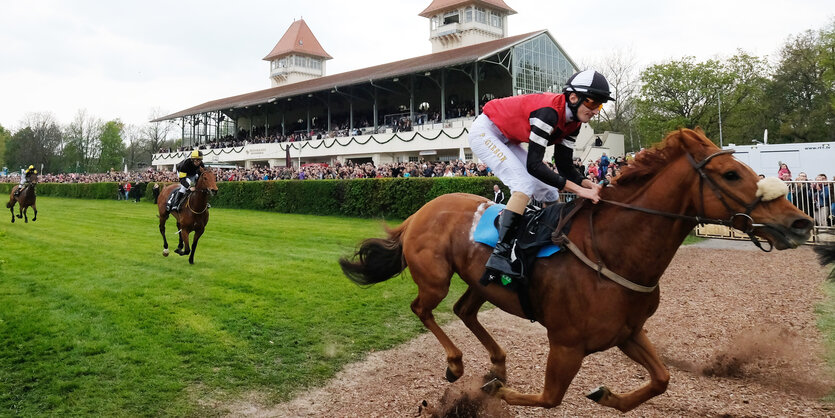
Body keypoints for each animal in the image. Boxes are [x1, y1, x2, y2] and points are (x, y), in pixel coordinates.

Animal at [336, 128, 812, 412]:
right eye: (731, 173)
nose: (800, 222)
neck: (613, 252)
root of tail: (419, 212)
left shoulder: (628, 332)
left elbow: (661, 379)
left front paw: (607, 394)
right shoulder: (565, 344)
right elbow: (549, 398)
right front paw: (493, 392)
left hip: (483, 283)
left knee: (463, 311)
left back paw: (497, 364)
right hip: (435, 277)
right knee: (424, 309)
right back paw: (457, 365)